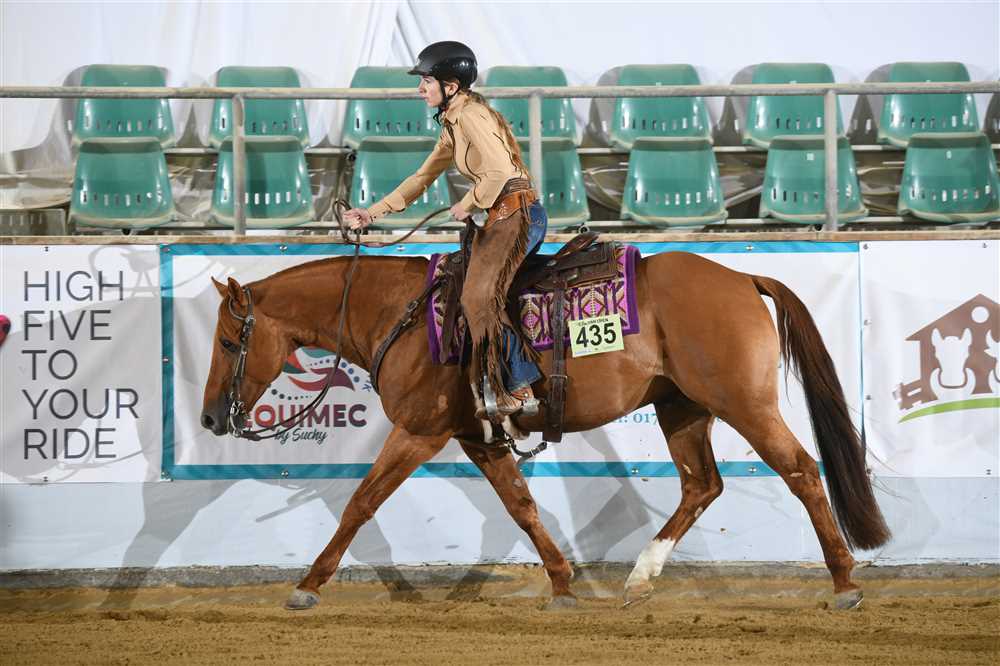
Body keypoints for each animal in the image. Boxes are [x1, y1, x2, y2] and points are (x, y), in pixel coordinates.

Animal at [199, 248, 891, 611]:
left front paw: (307, 586)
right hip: (683, 408)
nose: (208, 417)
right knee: (702, 485)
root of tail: (743, 276)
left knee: (800, 471)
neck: (401, 316)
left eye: (231, 340)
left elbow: (361, 502)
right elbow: (521, 506)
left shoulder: (419, 432)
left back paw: (844, 583)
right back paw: (641, 576)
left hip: (744, 403)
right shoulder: (477, 437)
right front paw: (562, 582)